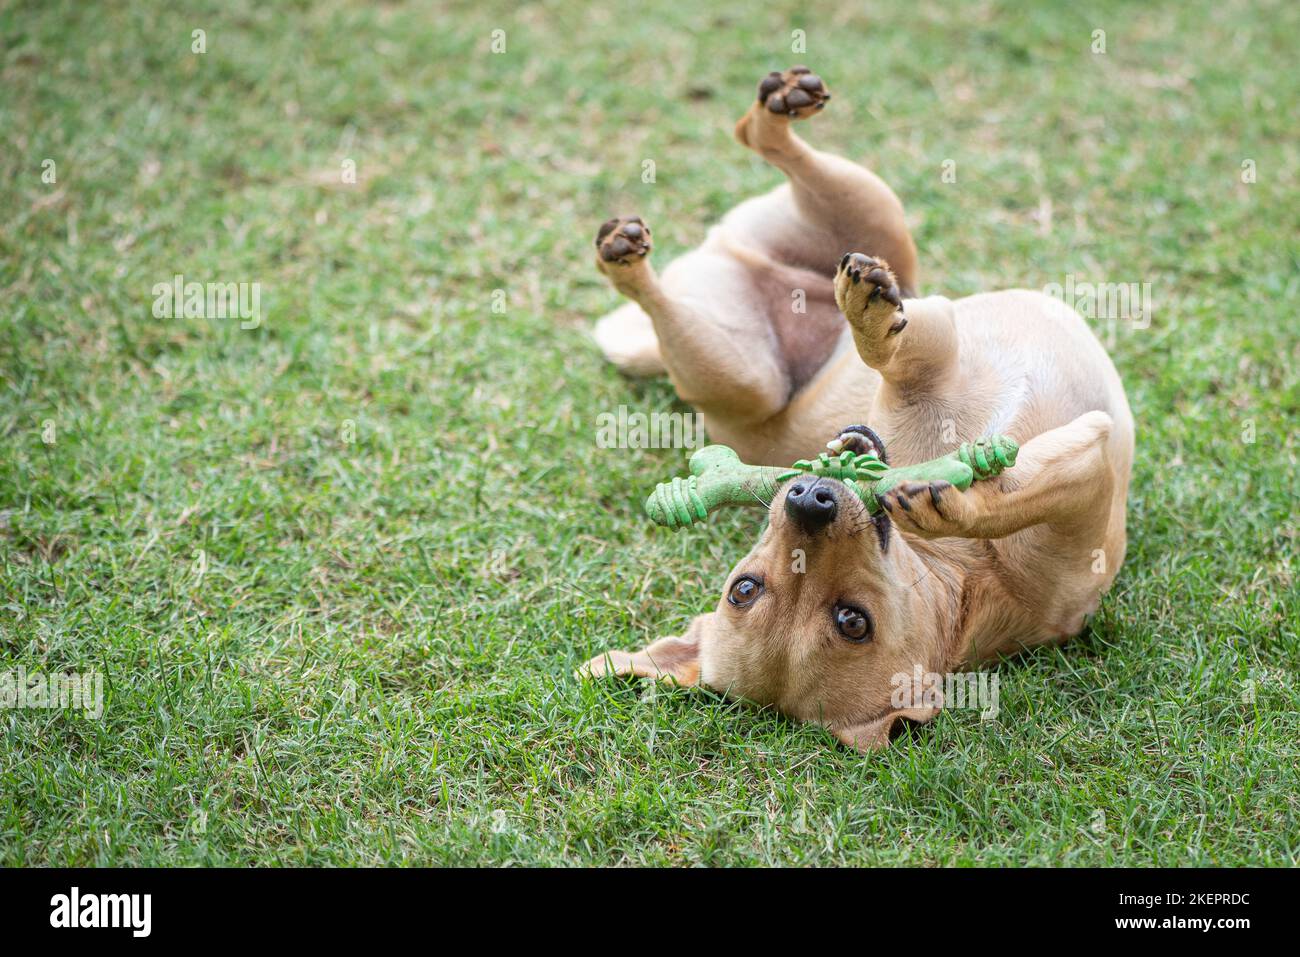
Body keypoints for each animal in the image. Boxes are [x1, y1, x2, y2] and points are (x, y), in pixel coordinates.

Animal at [579, 69, 1128, 754]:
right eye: (744, 590)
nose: (808, 499)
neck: (968, 577)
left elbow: (897, 358)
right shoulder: (1089, 464)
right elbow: (1013, 483)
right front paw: (954, 498)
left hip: (867, 213)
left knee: (761, 145)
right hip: (746, 375)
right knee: (667, 292)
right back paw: (636, 261)